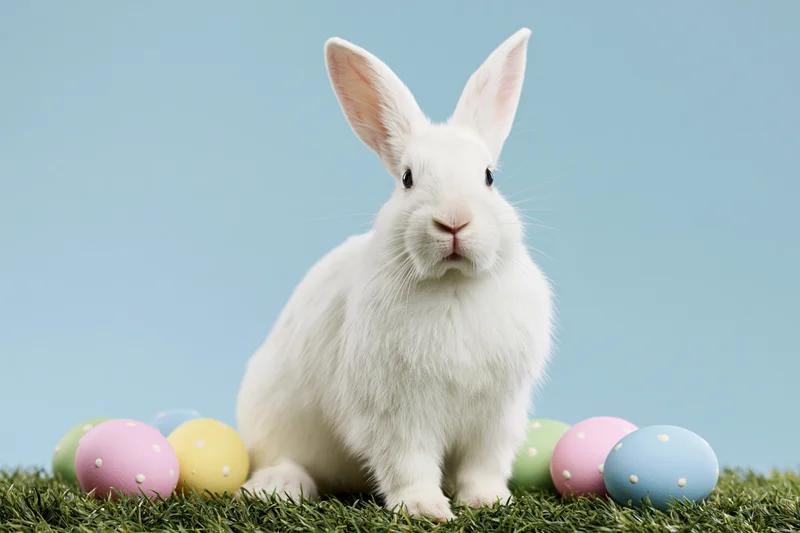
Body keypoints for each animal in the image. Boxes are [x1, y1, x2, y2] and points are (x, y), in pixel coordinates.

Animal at [235, 27, 554, 522]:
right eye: (407, 179)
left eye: (488, 177)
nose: (454, 220)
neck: (452, 285)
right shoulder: (396, 412)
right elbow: (409, 462)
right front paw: (425, 509)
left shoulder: (496, 415)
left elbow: (484, 463)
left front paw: (487, 501)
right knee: (286, 458)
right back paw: (278, 486)